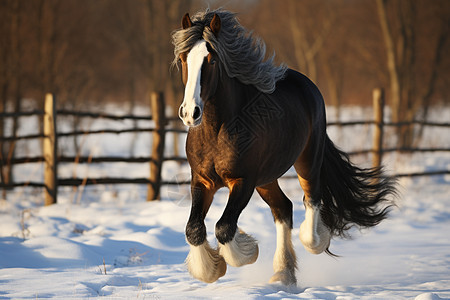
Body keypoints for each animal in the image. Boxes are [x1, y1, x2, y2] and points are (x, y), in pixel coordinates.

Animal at [171, 9, 396, 286]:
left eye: (211, 60)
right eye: (184, 58)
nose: (190, 113)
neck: (218, 130)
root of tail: (306, 84)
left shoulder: (243, 181)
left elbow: (224, 227)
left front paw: (247, 252)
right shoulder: (202, 181)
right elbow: (193, 228)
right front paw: (214, 268)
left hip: (307, 161)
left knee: (311, 199)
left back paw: (314, 242)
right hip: (267, 179)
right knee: (283, 208)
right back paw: (283, 273)